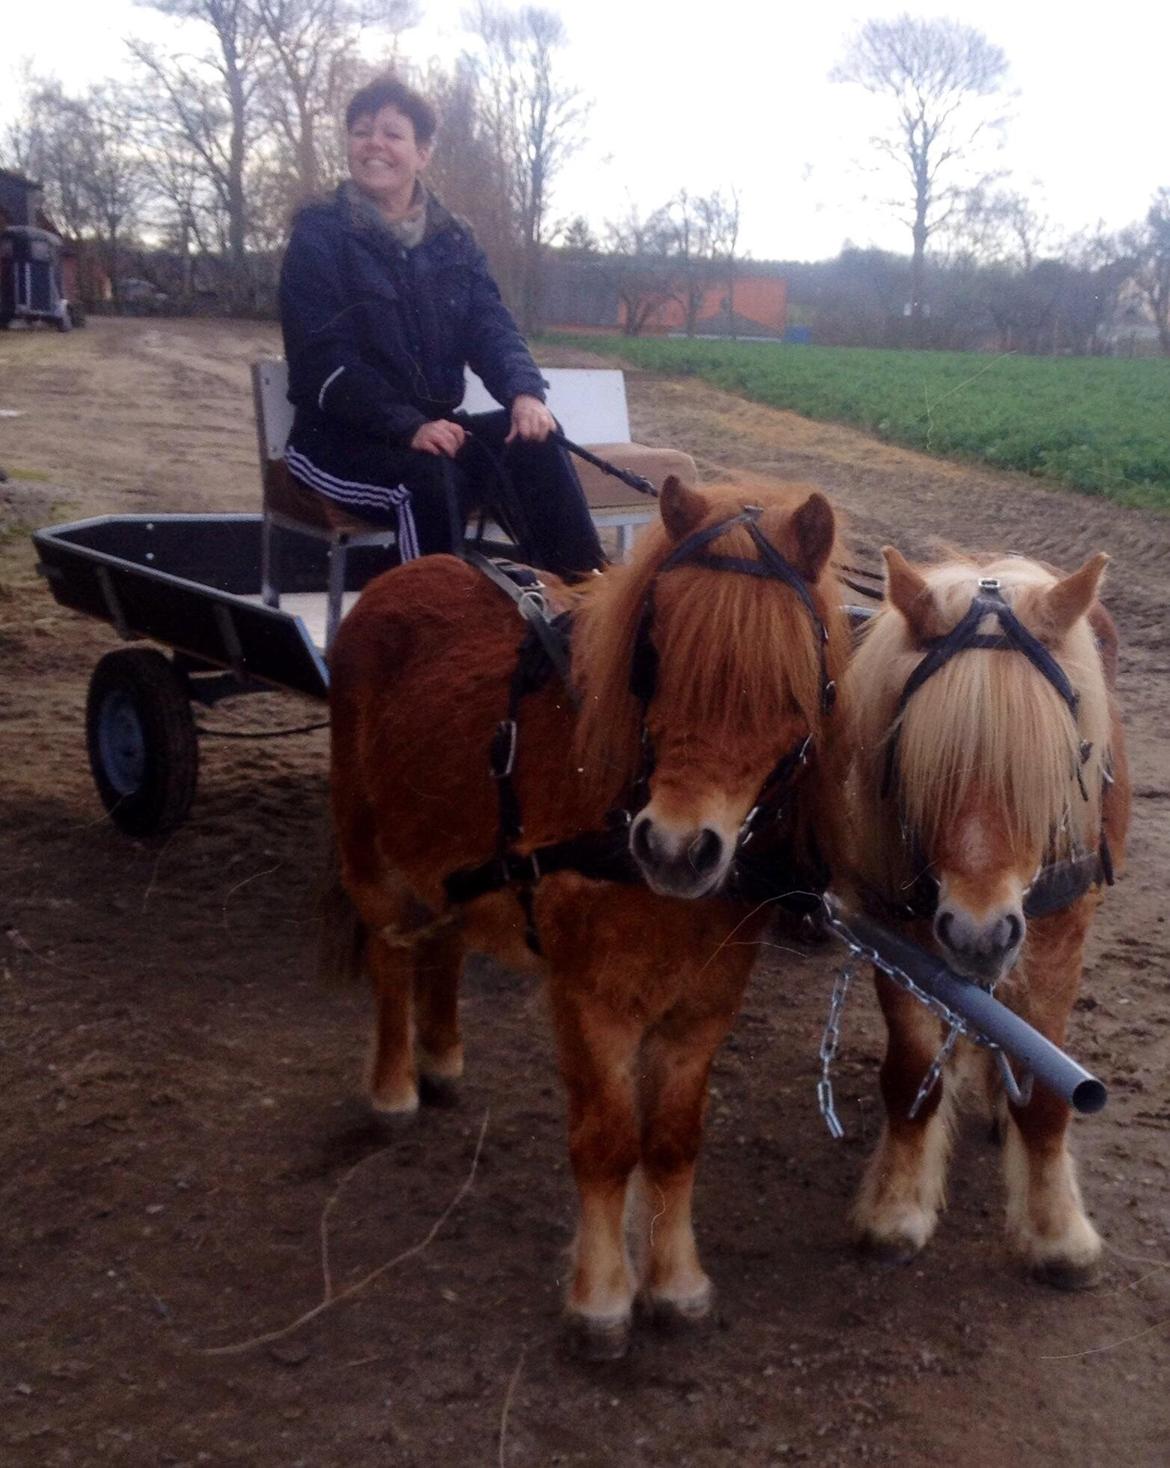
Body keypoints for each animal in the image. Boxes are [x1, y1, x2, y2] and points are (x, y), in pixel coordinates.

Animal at [328, 478, 851, 1350]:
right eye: (652, 656)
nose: (677, 849)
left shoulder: (704, 1007)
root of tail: (408, 569)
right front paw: (602, 1297)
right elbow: (607, 1144)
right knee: (394, 951)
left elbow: (673, 1142)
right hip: (367, 848)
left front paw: (675, 1283)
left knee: (444, 940)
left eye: (790, 683)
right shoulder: (587, 999)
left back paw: (441, 1057)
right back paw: (396, 1085)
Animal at [845, 549, 1127, 1285]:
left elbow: (1050, 1090)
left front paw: (1057, 1231)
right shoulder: (901, 937)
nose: (979, 933)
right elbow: (912, 1071)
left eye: (1059, 761)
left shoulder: (1056, 940)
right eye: (915, 753)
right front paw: (897, 1207)